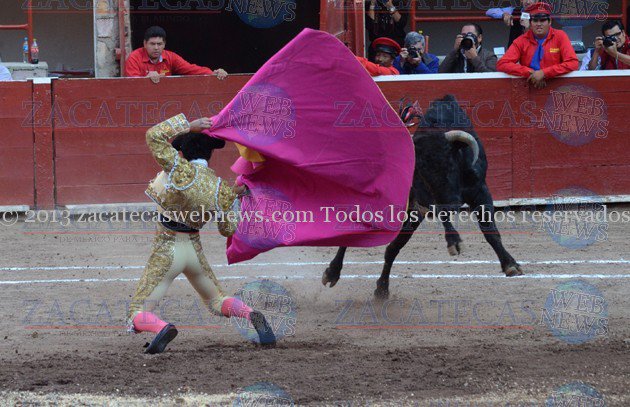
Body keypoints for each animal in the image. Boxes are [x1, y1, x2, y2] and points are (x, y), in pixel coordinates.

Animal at [322, 95, 523, 299]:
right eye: (422, 172)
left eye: (450, 163)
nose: (454, 203)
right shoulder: (425, 200)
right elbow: (442, 215)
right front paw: (454, 242)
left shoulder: (480, 191)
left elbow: (491, 231)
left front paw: (510, 265)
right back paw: (332, 273)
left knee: (392, 248)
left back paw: (382, 289)